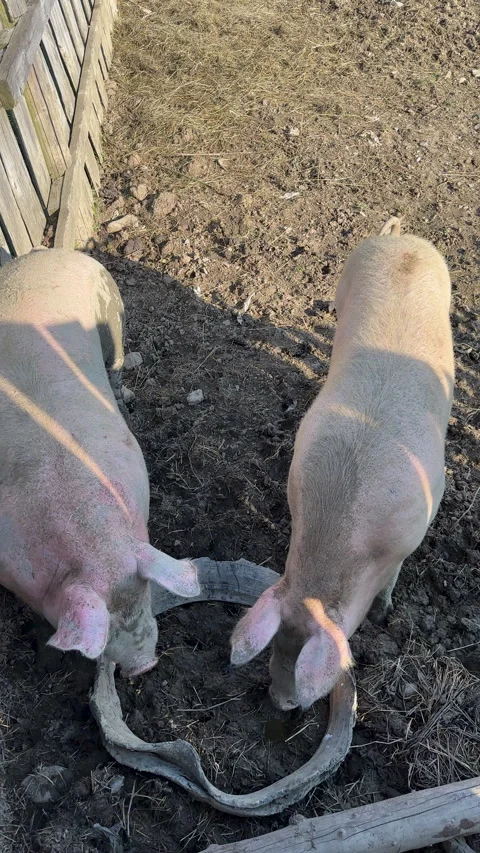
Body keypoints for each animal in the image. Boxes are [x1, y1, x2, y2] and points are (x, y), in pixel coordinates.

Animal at [0, 248, 200, 676]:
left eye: (143, 591)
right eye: (108, 622)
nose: (146, 665)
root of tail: (49, 253)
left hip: (113, 315)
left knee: (117, 363)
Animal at [230, 217, 454, 710]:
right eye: (277, 645)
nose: (280, 701)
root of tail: (401, 239)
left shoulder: (421, 518)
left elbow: (394, 577)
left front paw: (385, 612)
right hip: (345, 282)